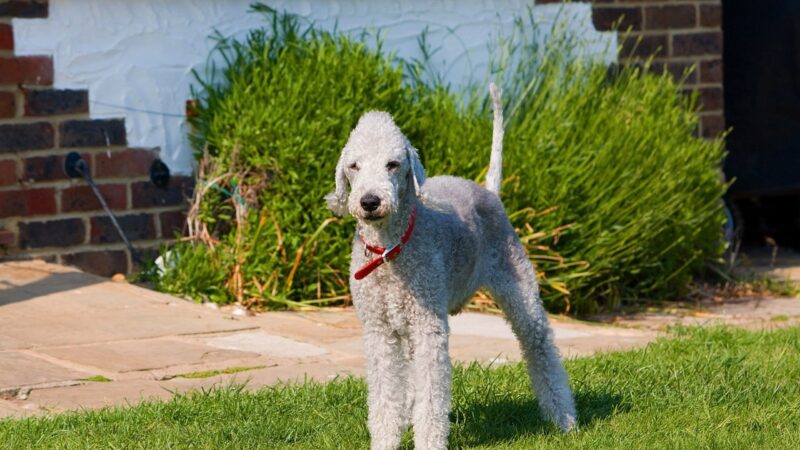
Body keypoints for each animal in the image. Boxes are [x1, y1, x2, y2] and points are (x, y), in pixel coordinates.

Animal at [324, 85, 576, 450]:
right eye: (354, 166)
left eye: (393, 164)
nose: (369, 201)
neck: (390, 250)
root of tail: (488, 191)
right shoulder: (379, 330)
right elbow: (385, 396)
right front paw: (386, 439)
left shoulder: (429, 326)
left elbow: (432, 397)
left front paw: (429, 441)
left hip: (519, 287)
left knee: (540, 345)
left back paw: (565, 419)